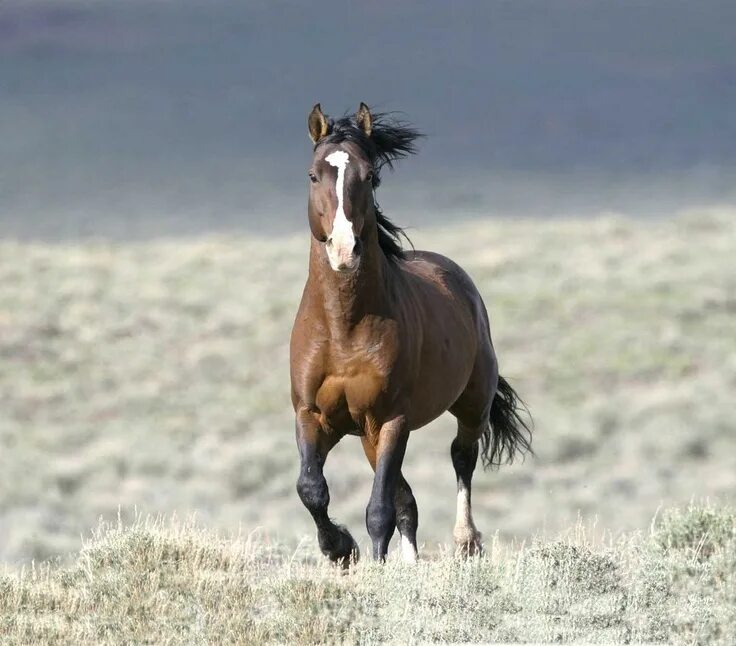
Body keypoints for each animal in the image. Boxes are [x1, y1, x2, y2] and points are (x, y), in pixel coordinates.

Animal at [288, 104, 528, 564]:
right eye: (312, 175)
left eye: (370, 176)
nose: (344, 250)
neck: (343, 329)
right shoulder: (313, 416)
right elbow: (312, 489)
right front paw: (340, 549)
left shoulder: (391, 419)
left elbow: (379, 509)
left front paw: (373, 563)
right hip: (367, 434)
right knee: (407, 501)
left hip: (469, 406)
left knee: (461, 459)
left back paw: (466, 542)